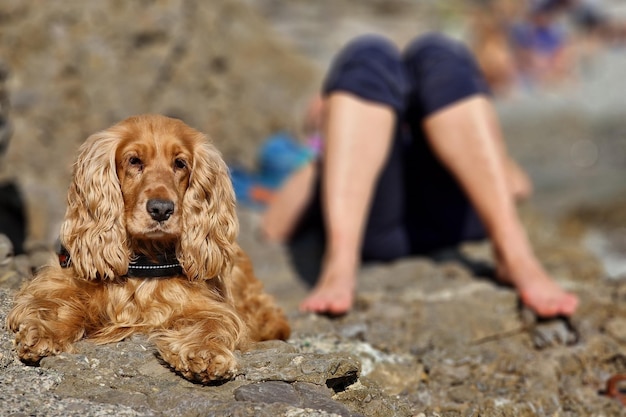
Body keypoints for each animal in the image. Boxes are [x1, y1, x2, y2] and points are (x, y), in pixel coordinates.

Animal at [7, 113, 290, 380]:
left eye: (180, 163)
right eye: (134, 161)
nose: (161, 209)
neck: (145, 258)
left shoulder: (207, 305)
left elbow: (213, 323)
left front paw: (205, 353)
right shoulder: (60, 281)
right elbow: (55, 302)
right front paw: (44, 331)